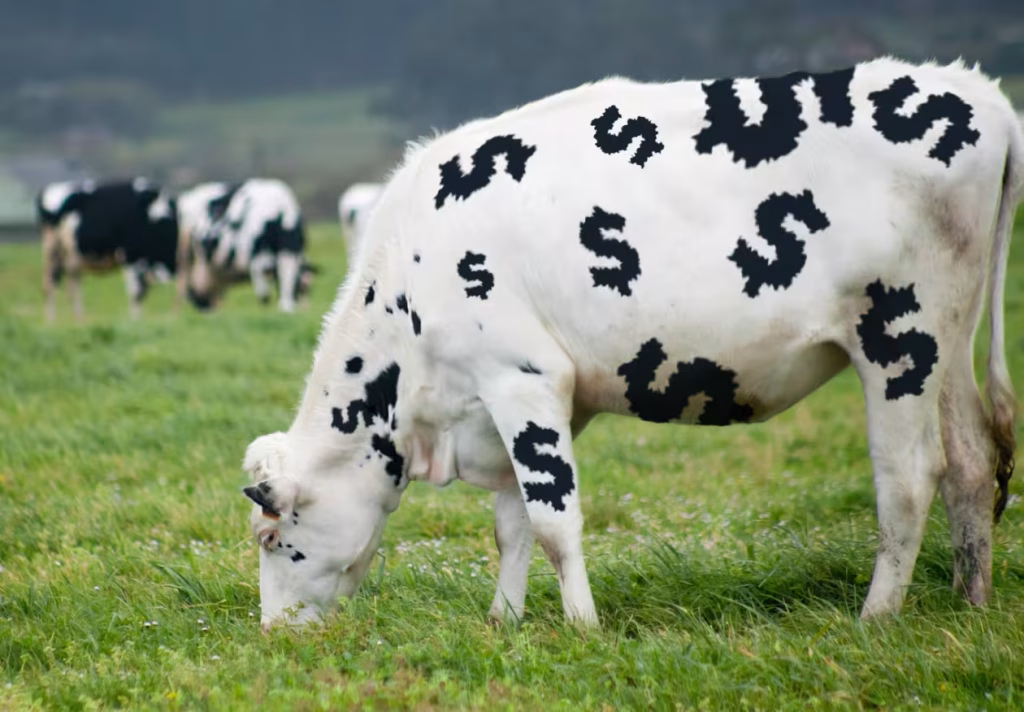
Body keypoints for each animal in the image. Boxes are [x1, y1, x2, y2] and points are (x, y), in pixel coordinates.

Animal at [38, 178, 178, 321]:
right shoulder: (130, 257)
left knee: (73, 287)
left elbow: (141, 292)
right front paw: (136, 321)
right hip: (53, 251)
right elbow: (136, 293)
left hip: (72, 256)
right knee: (50, 285)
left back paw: (79, 320)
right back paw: (51, 321)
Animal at [241, 58, 1022, 630]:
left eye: (272, 537)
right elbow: (512, 523)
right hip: (948, 340)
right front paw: (504, 621)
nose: (274, 630)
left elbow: (553, 521)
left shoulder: (520, 379)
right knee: (970, 461)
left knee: (911, 476)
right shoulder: (521, 402)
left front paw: (582, 627)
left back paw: (876, 617)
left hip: (897, 340)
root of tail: (979, 92)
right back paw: (970, 601)